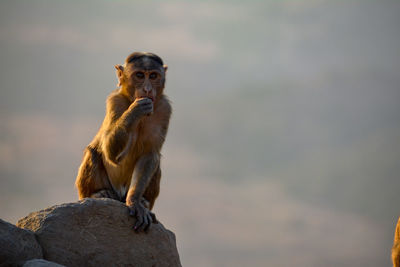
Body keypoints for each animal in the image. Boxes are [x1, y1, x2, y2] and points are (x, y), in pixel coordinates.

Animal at [76, 51, 171, 232]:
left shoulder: (164, 109)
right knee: (93, 151)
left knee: (156, 161)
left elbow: (149, 154)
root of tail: (119, 196)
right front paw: (135, 111)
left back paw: (143, 201)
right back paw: (97, 193)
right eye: (139, 75)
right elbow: (111, 153)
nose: (147, 89)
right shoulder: (115, 101)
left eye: (153, 76)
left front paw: (134, 201)